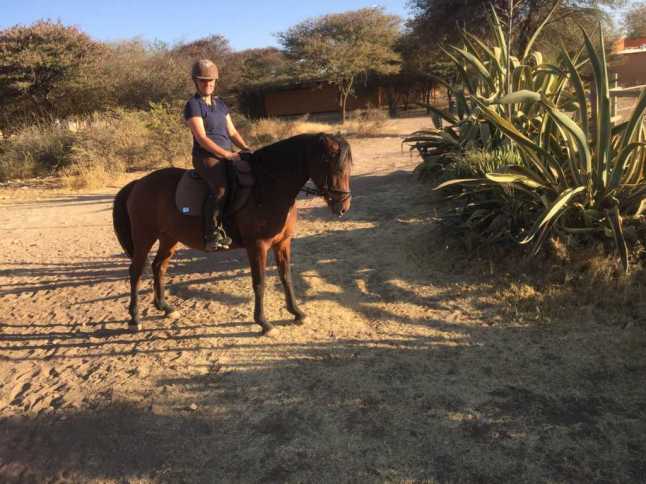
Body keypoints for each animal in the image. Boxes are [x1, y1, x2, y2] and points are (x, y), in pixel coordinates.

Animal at [112, 133, 352, 336]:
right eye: (327, 162)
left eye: (349, 166)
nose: (342, 206)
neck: (269, 186)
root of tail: (139, 183)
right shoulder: (258, 246)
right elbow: (259, 283)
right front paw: (264, 323)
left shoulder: (283, 243)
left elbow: (286, 277)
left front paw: (297, 313)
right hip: (145, 236)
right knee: (136, 272)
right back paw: (134, 319)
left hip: (169, 237)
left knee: (158, 267)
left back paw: (165, 308)